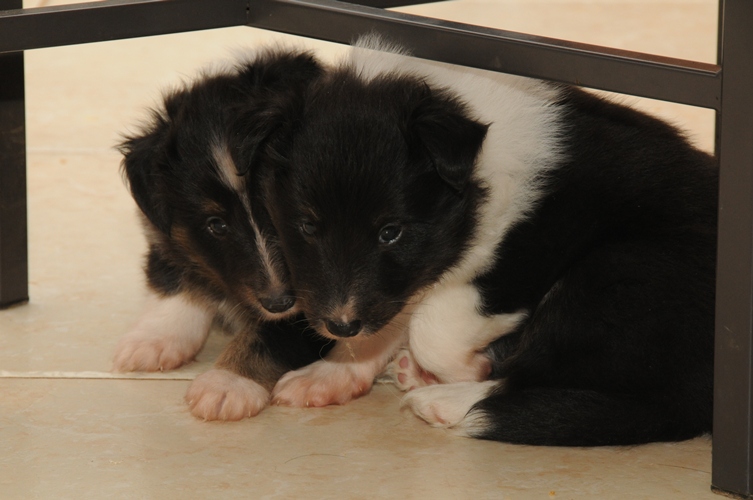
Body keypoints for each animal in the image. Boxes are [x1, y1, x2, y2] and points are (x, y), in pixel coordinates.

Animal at [112, 48, 332, 420]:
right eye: (216, 224)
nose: (279, 302)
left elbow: (271, 337)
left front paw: (227, 384)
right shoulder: (164, 233)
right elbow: (173, 279)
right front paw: (154, 340)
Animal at [258, 38, 716, 446]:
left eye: (391, 231)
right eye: (307, 227)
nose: (340, 325)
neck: (479, 171)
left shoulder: (517, 261)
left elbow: (433, 325)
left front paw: (465, 368)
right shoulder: (401, 282)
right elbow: (395, 315)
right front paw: (335, 369)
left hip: (615, 279)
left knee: (535, 375)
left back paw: (443, 398)